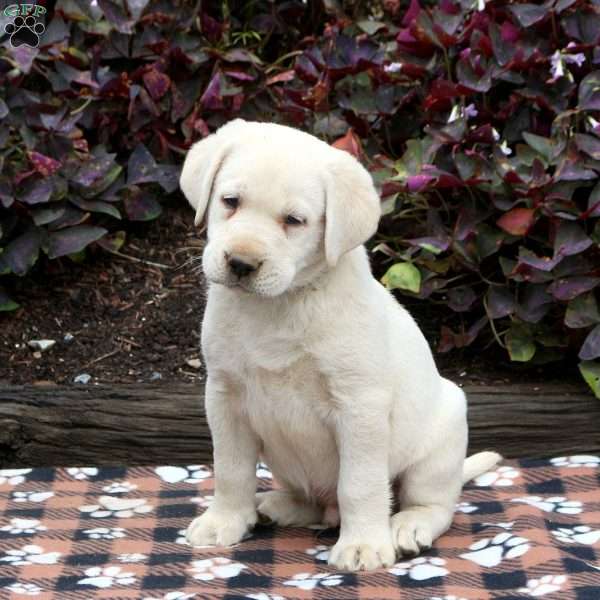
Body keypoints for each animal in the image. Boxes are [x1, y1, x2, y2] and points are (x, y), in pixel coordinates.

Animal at [179, 118, 502, 572]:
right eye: (230, 201)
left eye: (294, 220)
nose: (241, 263)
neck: (278, 306)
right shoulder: (224, 396)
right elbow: (230, 469)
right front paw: (224, 520)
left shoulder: (359, 405)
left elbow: (359, 483)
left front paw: (363, 544)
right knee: (313, 503)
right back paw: (275, 505)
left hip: (439, 445)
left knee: (433, 505)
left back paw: (406, 527)